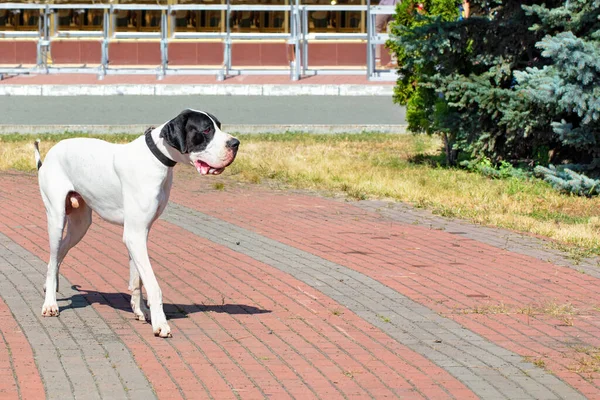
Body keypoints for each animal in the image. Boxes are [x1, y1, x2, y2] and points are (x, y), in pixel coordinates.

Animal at [34, 109, 239, 338]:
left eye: (219, 126)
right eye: (206, 130)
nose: (236, 143)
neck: (156, 158)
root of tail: (50, 154)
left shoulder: (139, 233)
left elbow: (137, 279)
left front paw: (140, 310)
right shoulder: (135, 235)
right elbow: (152, 284)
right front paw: (160, 323)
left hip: (80, 225)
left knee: (57, 255)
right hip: (56, 219)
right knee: (54, 255)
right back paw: (50, 303)